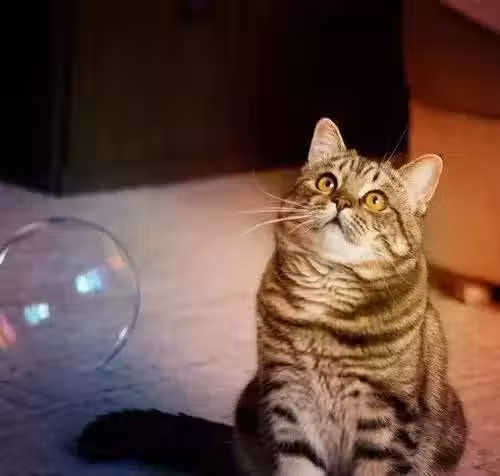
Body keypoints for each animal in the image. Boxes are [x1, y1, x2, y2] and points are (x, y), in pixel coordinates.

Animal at [77, 118, 466, 476]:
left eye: (375, 200)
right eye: (327, 182)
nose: (340, 201)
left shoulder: (388, 424)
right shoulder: (288, 401)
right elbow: (297, 466)